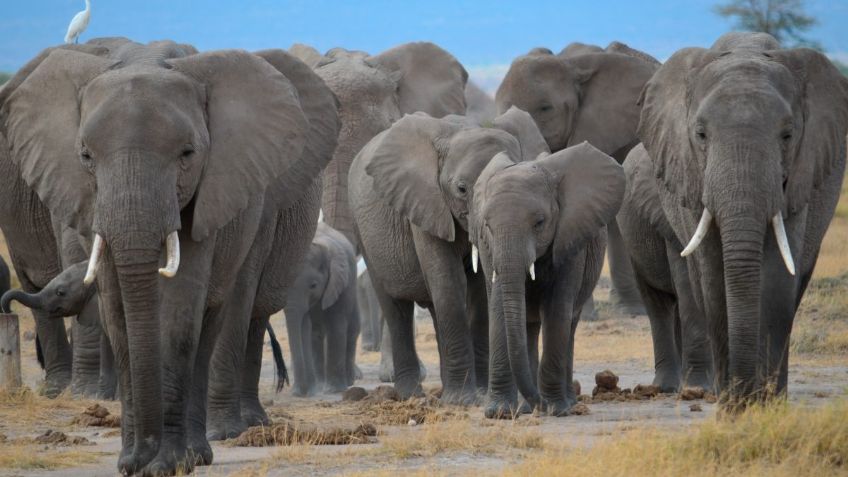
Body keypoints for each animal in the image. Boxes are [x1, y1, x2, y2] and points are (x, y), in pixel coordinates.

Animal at [284, 223, 359, 396]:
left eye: (313, 285)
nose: (297, 392)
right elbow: (308, 329)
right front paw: (313, 390)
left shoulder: (340, 284)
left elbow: (336, 327)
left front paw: (333, 390)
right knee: (316, 333)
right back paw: (320, 385)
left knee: (352, 331)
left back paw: (349, 382)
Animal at [349, 107, 549, 404]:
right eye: (462, 189)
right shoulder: (425, 202)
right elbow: (448, 281)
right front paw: (462, 401)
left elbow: (477, 294)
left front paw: (479, 393)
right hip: (363, 230)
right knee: (396, 307)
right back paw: (411, 394)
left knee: (433, 309)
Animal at [470, 142, 625, 418]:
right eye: (487, 225)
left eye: (540, 223)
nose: (539, 404)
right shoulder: (488, 248)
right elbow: (498, 308)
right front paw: (499, 413)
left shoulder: (570, 238)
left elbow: (556, 310)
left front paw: (555, 409)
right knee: (528, 327)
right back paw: (526, 408)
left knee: (569, 325)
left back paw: (565, 403)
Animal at [635, 32, 848, 406]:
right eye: (700, 134)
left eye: (788, 135)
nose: (744, 394)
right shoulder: (692, 175)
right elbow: (713, 278)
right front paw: (734, 406)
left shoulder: (798, 177)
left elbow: (777, 278)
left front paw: (763, 405)